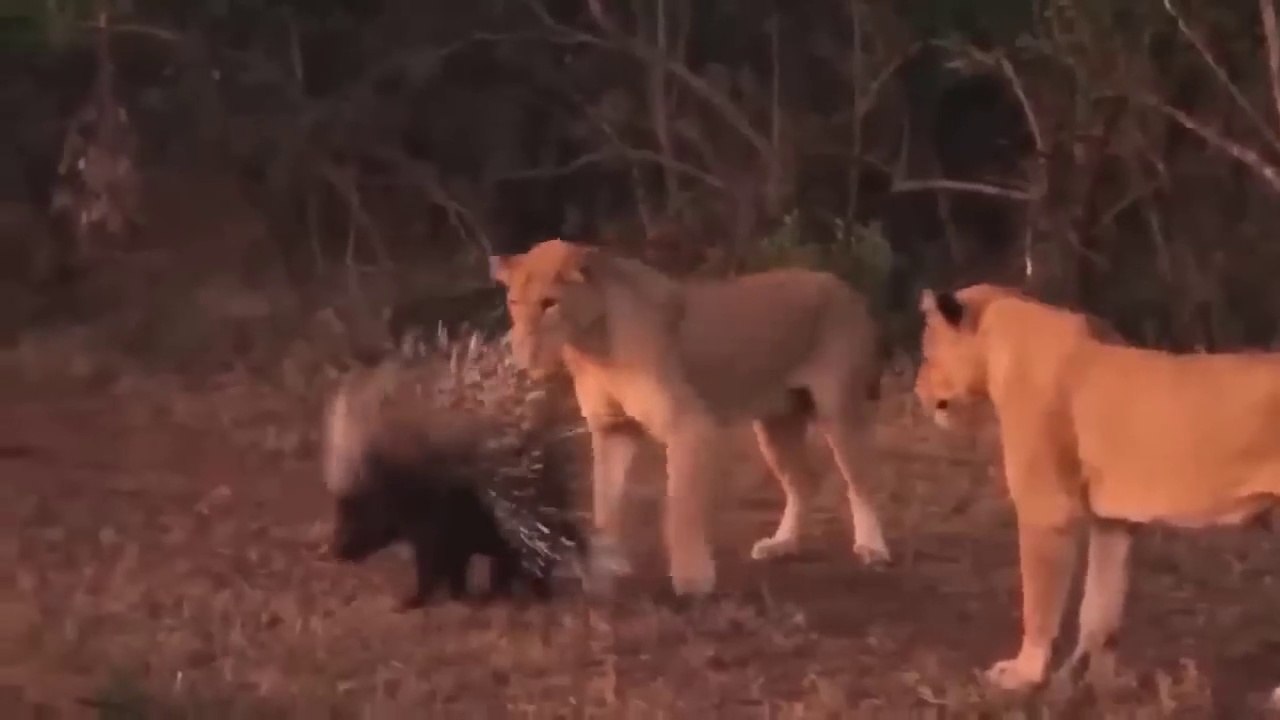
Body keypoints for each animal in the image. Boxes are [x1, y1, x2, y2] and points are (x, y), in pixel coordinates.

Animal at [489, 238, 890, 596]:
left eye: (549, 303)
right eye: (513, 302)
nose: (520, 355)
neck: (592, 348)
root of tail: (844, 286)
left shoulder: (690, 425)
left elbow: (679, 509)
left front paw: (692, 579)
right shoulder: (613, 431)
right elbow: (605, 504)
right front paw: (601, 570)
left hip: (838, 409)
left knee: (861, 481)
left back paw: (872, 548)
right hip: (776, 423)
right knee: (803, 482)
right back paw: (782, 545)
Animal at [915, 283, 1280, 696]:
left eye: (927, 350)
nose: (917, 390)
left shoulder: (1047, 507)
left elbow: (1039, 601)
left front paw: (1023, 673)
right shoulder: (1113, 520)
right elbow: (1100, 605)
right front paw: (1098, 681)